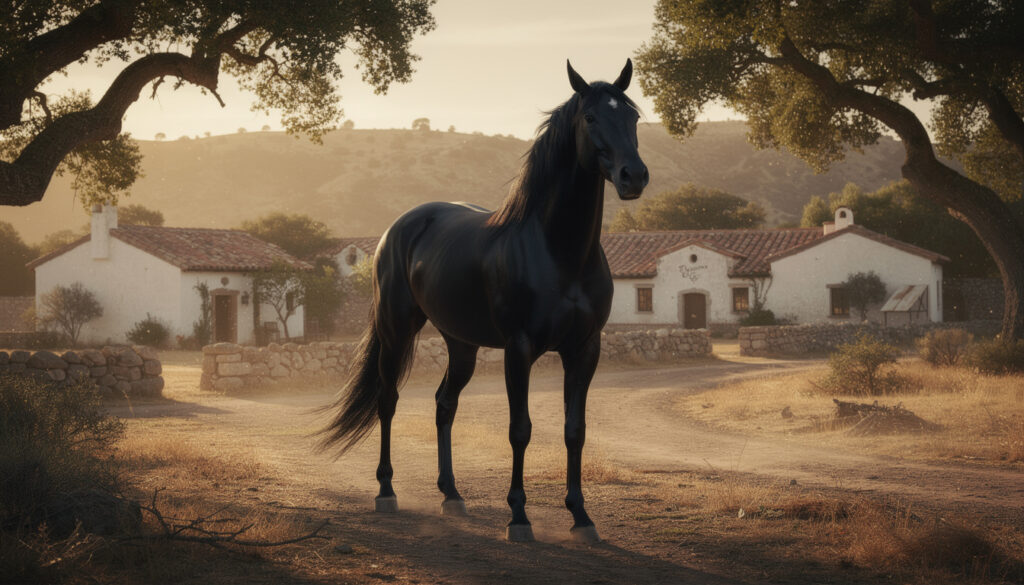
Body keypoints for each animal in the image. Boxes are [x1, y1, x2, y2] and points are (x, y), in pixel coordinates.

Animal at [319, 59, 648, 543]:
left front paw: (581, 517)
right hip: (397, 330)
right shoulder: (519, 348)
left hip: (462, 345)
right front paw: (519, 517)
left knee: (444, 404)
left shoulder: (585, 349)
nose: (634, 176)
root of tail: (399, 227)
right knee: (388, 399)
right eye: (590, 117)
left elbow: (575, 430)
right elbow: (520, 429)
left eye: (633, 116)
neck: (559, 251)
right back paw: (386, 491)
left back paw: (452, 495)